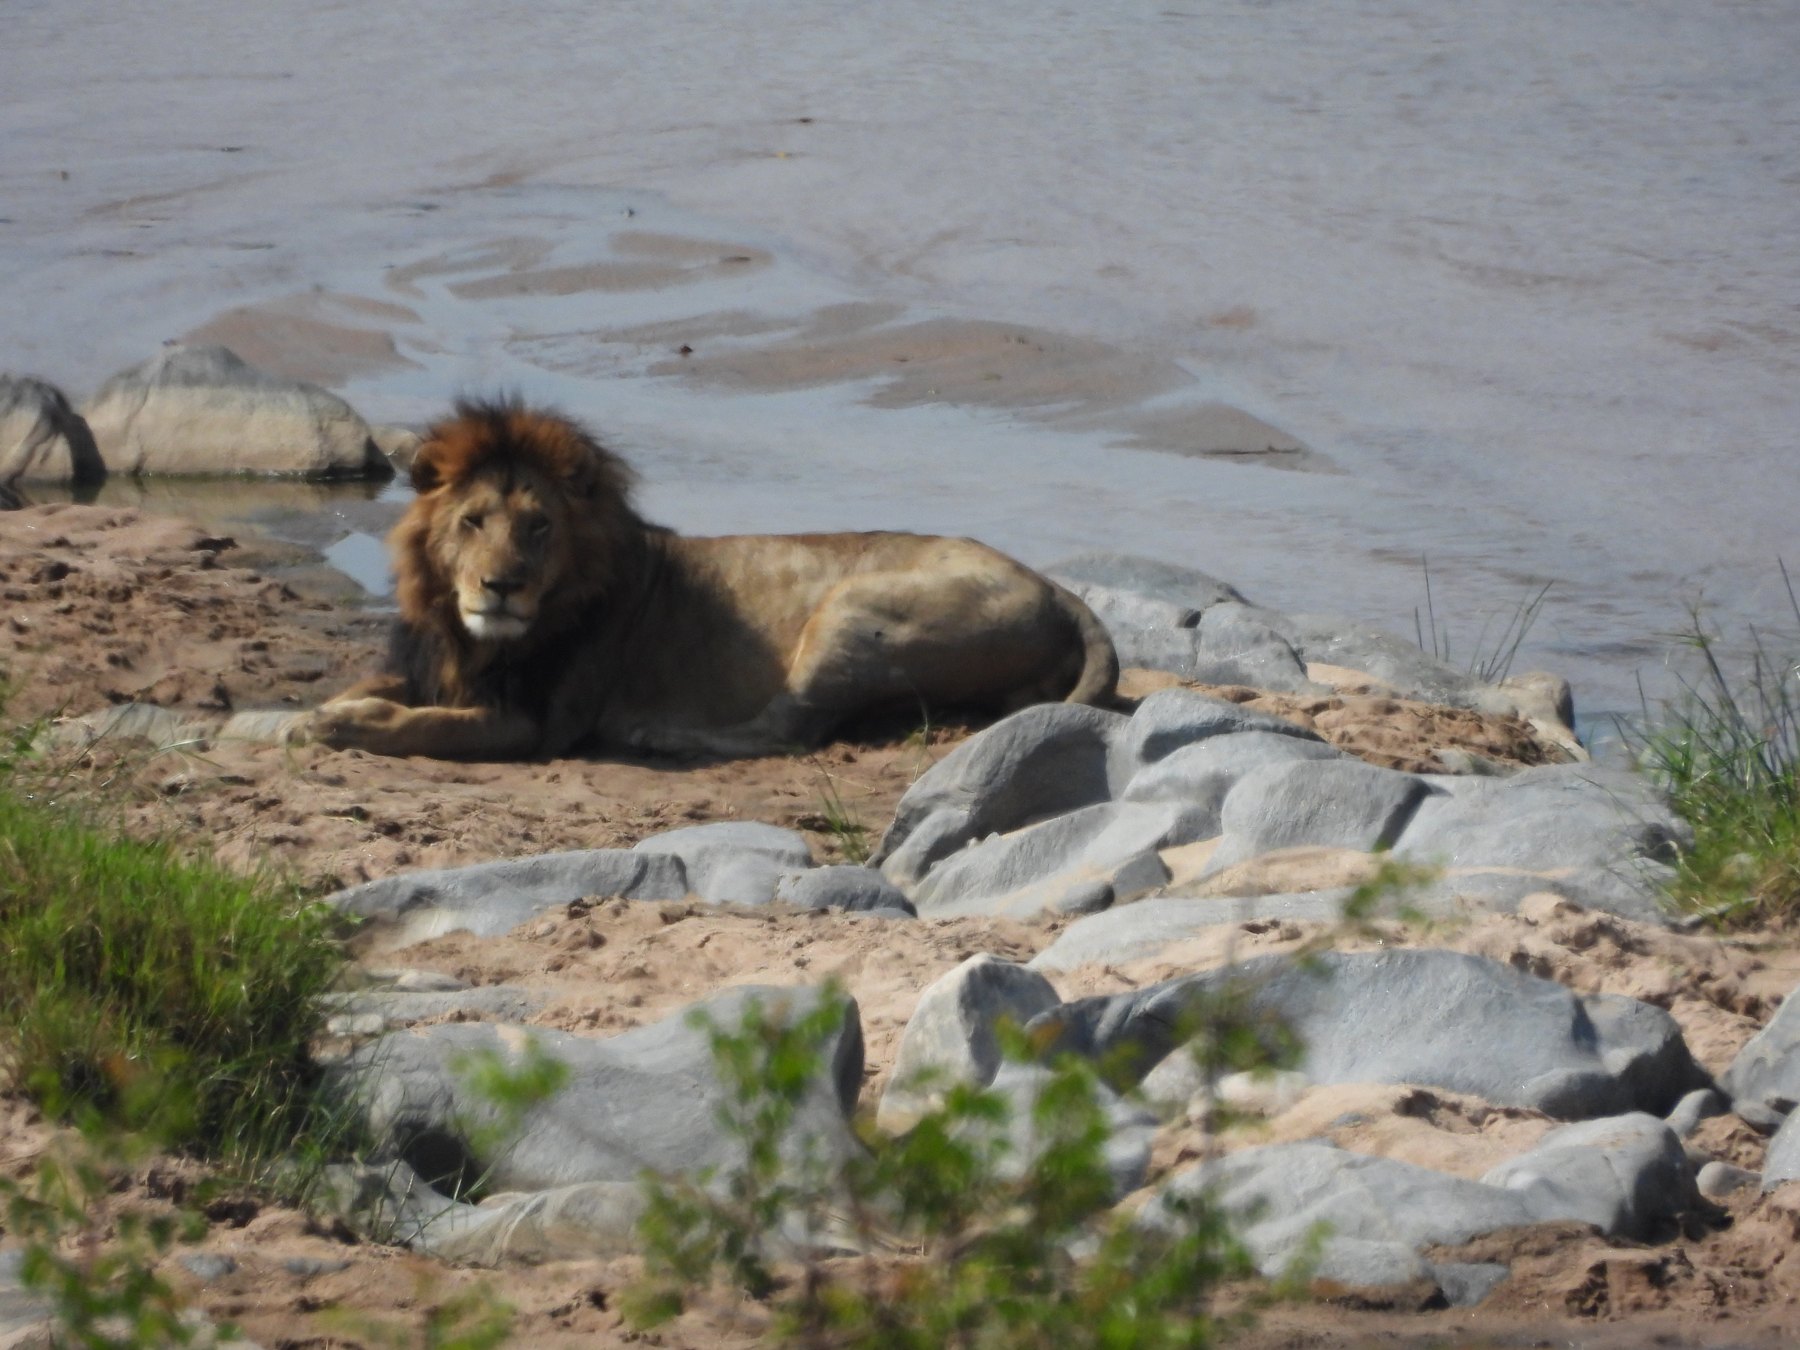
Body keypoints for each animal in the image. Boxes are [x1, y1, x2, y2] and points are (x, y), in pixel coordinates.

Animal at [310, 399, 1118, 760]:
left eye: (539, 527)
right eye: (473, 521)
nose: (501, 586)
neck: (474, 639)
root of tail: (1056, 588)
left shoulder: (539, 722)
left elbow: (429, 725)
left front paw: (340, 725)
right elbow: (383, 688)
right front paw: (320, 710)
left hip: (852, 606)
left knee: (786, 729)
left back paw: (659, 732)